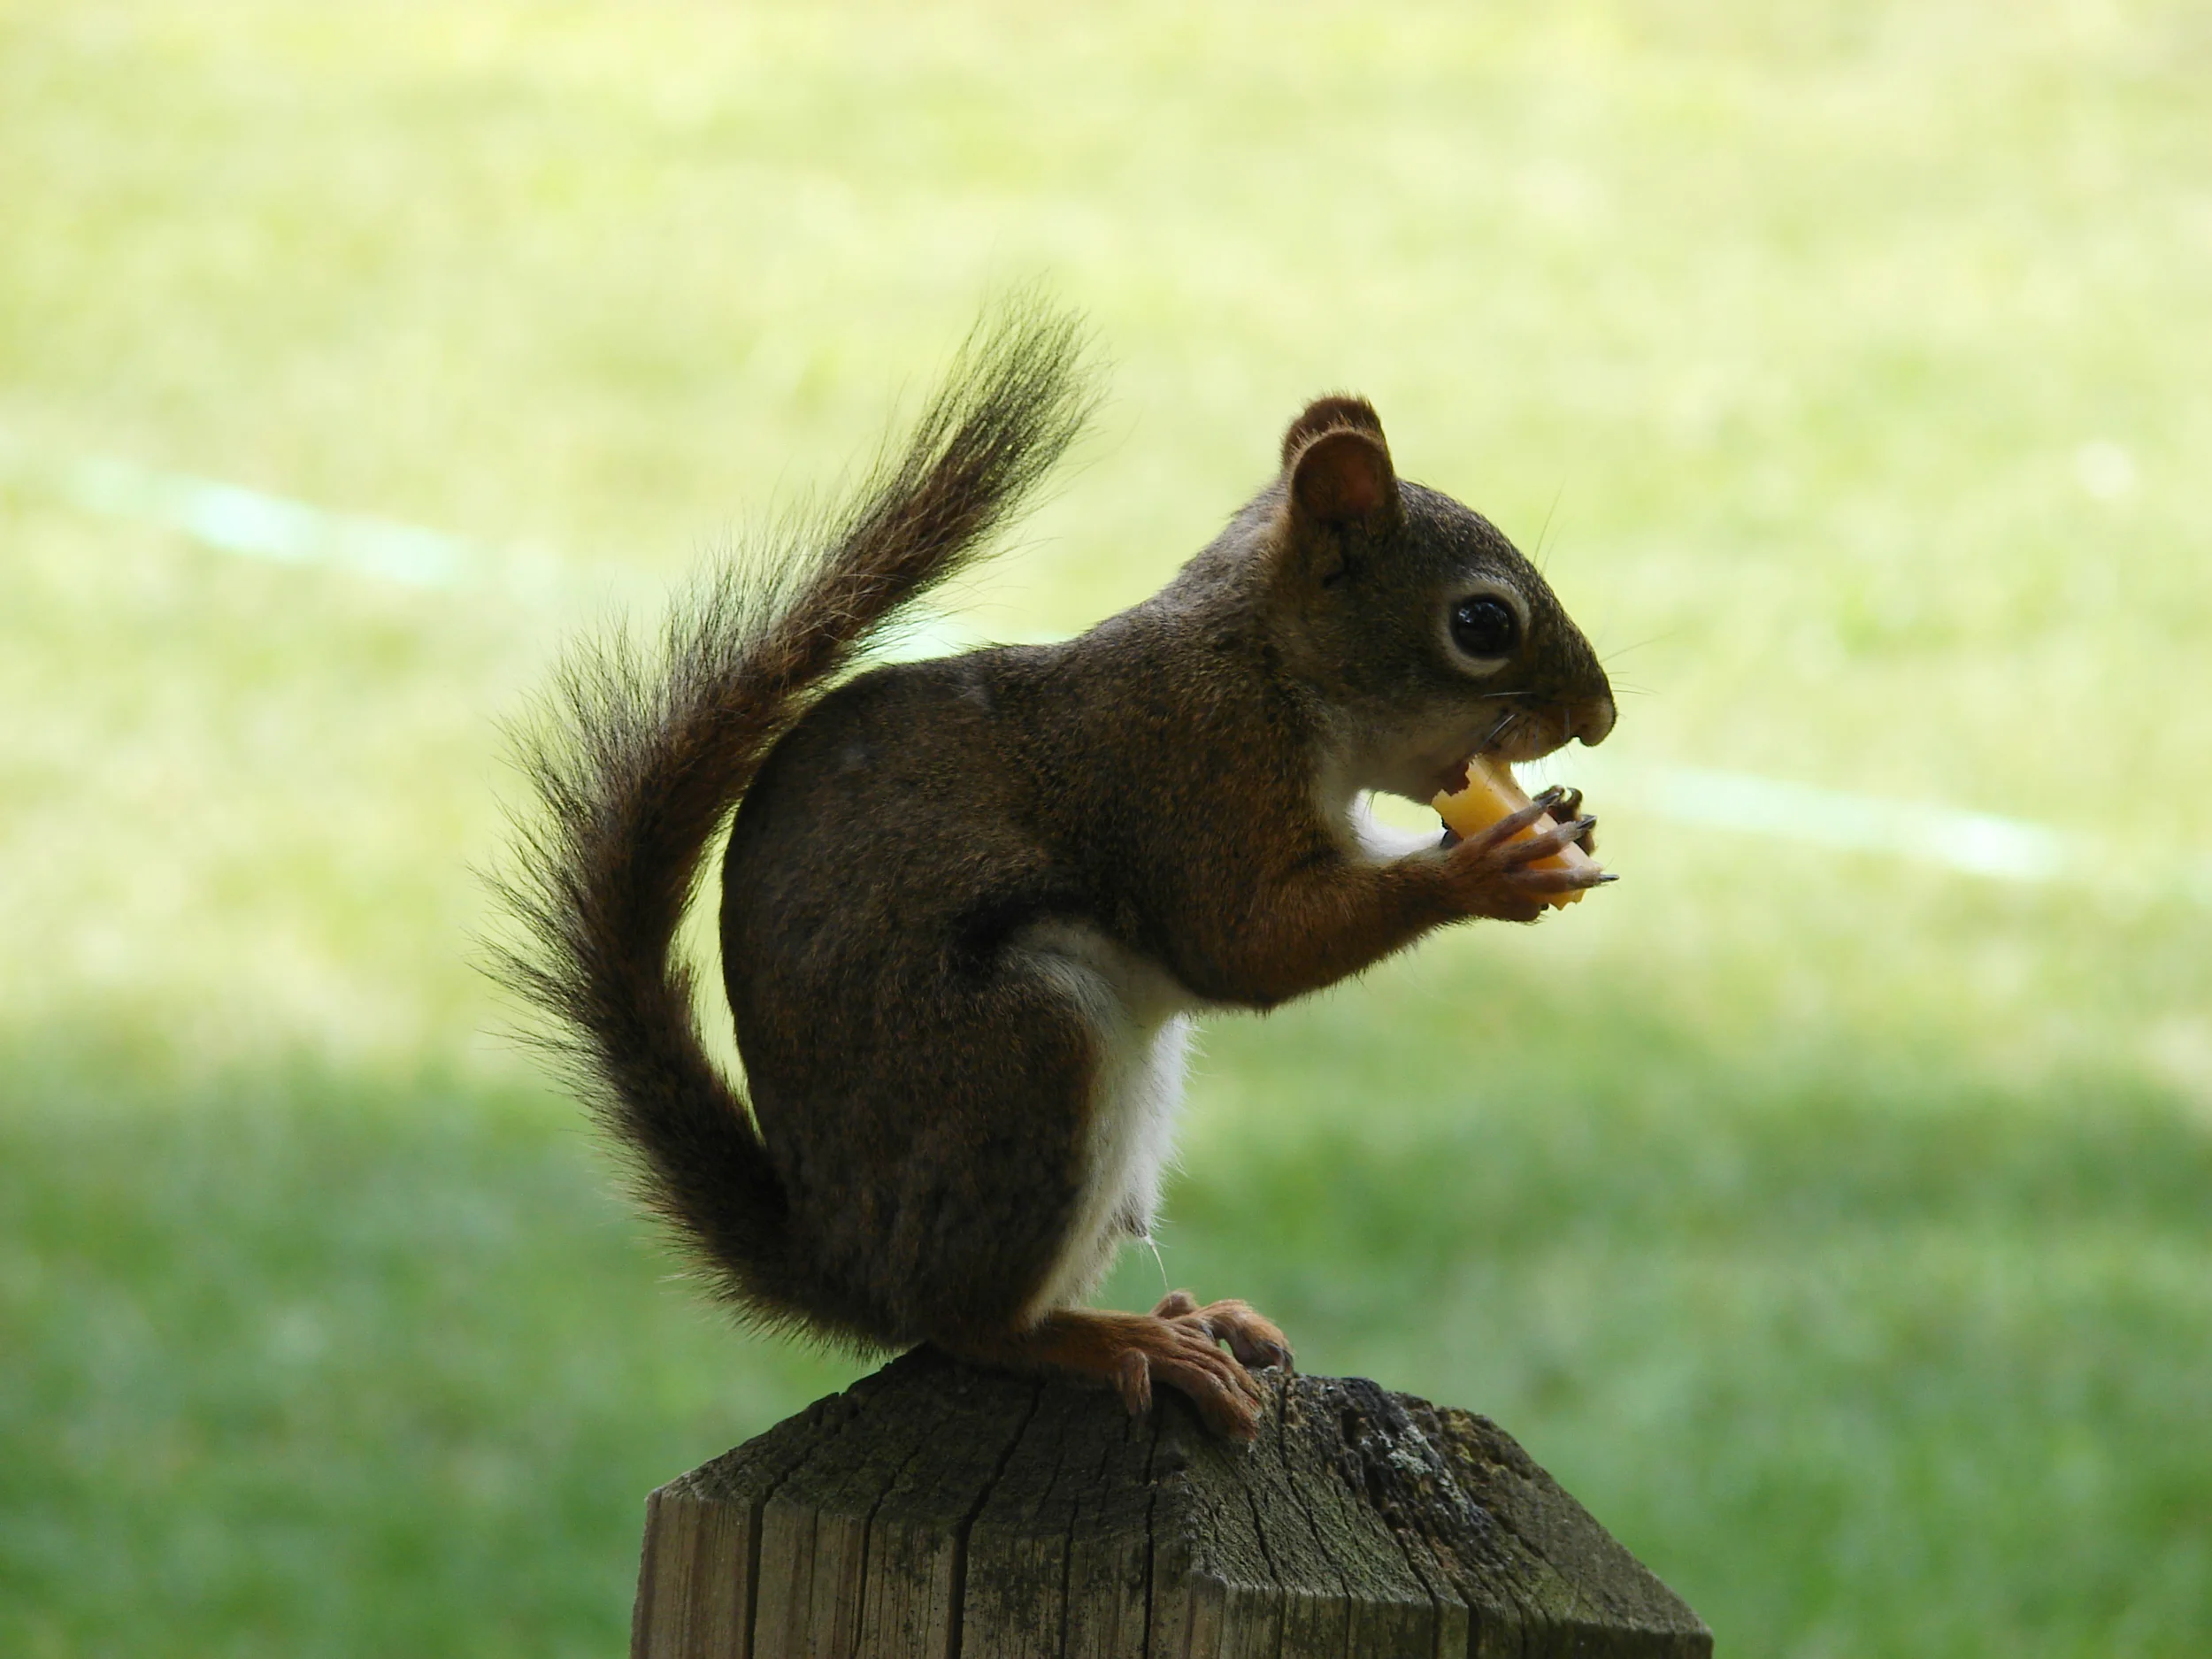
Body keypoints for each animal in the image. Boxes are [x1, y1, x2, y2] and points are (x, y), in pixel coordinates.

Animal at [495, 302, 1616, 1441]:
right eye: (1482, 624)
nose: (1601, 719)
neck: (1266, 665)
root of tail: (851, 1270)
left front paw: (1554, 828)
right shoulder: (1193, 775)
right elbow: (1243, 944)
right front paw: (1485, 870)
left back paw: (1186, 1316)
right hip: (1021, 1058)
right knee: (968, 1328)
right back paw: (1116, 1343)